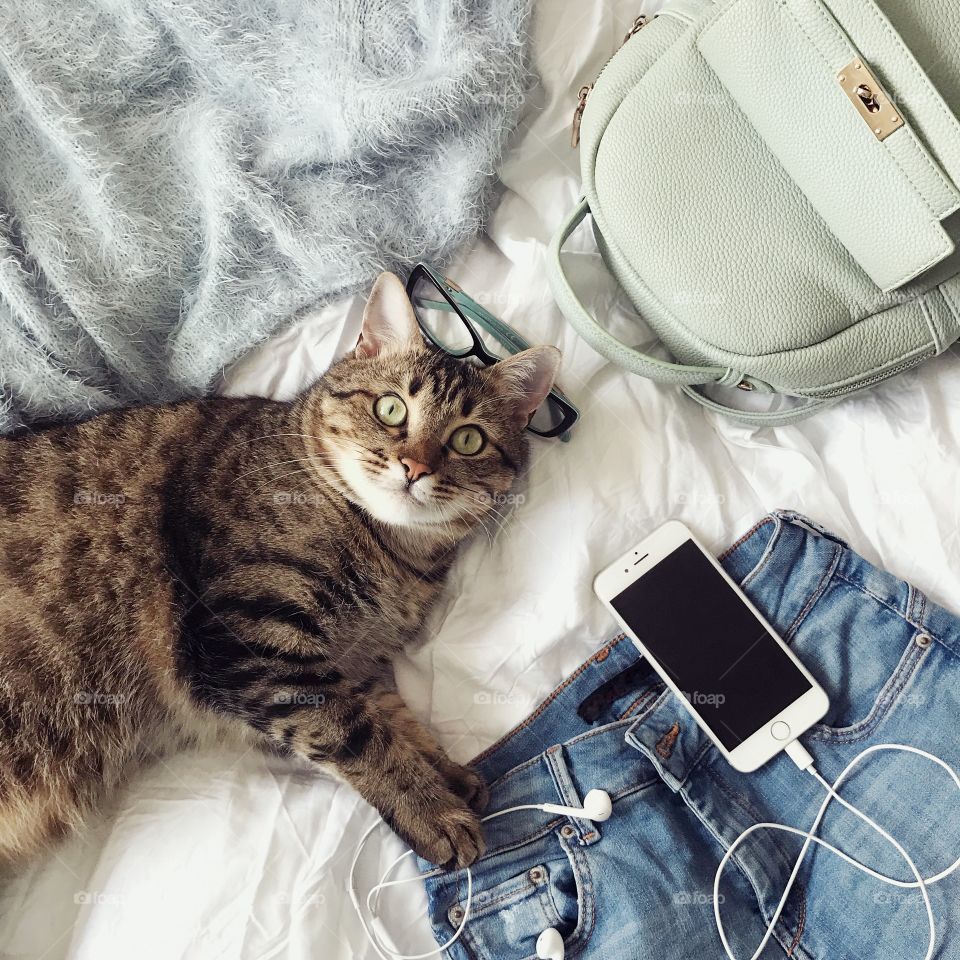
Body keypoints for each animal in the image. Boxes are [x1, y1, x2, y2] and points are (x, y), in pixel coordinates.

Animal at [0, 270, 564, 872]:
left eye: (468, 439)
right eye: (391, 410)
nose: (414, 467)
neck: (393, 557)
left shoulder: (352, 664)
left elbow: (395, 718)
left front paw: (449, 774)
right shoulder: (252, 644)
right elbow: (358, 736)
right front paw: (432, 811)